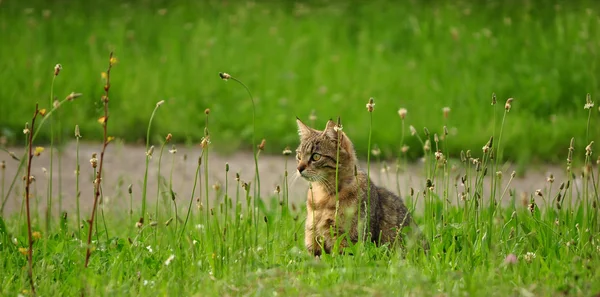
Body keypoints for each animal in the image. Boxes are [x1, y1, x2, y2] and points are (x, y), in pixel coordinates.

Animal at [296, 117, 422, 254]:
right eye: (299, 156)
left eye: (316, 156)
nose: (299, 168)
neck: (323, 195)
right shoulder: (313, 241)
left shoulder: (347, 242)